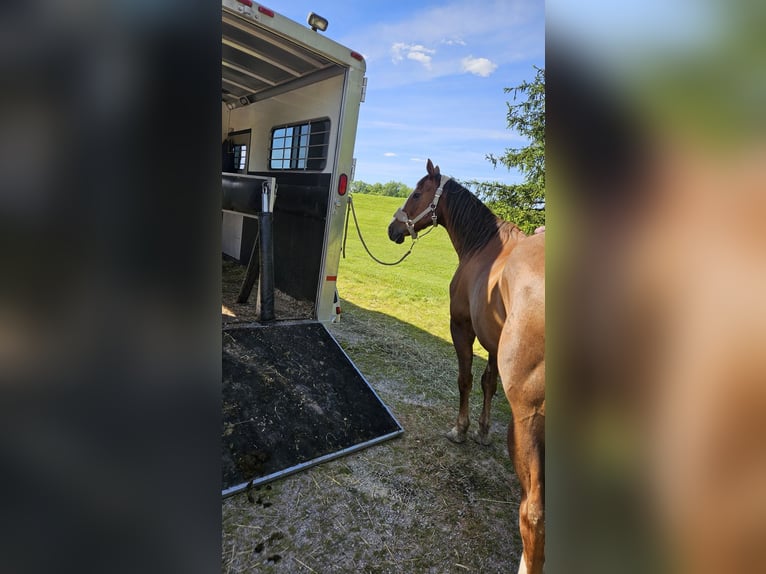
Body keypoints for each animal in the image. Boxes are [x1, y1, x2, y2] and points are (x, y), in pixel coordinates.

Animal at [388, 159, 546, 574]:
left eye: (416, 193)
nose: (393, 229)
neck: (485, 249)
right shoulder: (491, 340)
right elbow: (488, 382)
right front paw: (483, 430)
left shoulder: (462, 327)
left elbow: (465, 379)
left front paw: (460, 429)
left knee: (534, 511)